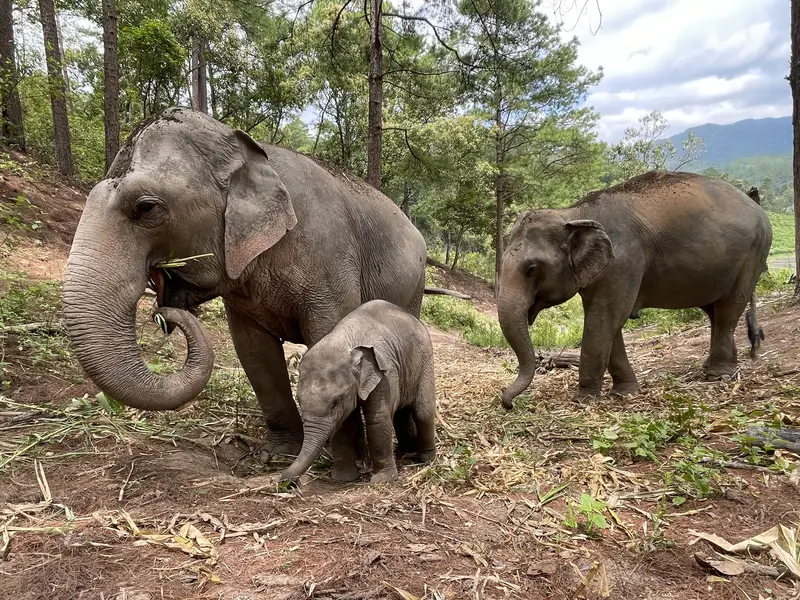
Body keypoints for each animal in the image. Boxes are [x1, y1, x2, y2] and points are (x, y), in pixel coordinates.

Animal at [62, 107, 458, 458]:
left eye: (146, 207)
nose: (164, 311)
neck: (247, 152)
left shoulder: (330, 260)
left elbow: (329, 336)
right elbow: (254, 354)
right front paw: (276, 455)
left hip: (412, 287)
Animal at [280, 299, 436, 483]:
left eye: (335, 402)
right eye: (298, 400)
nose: (282, 481)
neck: (342, 340)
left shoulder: (385, 373)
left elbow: (377, 419)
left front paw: (382, 480)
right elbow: (343, 424)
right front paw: (343, 479)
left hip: (426, 359)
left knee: (423, 412)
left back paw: (426, 460)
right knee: (402, 412)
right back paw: (405, 453)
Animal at [497, 171, 772, 408]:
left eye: (532, 268)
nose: (507, 403)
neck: (575, 213)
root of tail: (754, 203)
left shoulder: (623, 261)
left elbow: (603, 320)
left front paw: (583, 399)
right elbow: (609, 324)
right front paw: (625, 392)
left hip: (754, 253)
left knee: (729, 309)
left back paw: (718, 375)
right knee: (715, 311)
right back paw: (718, 369)